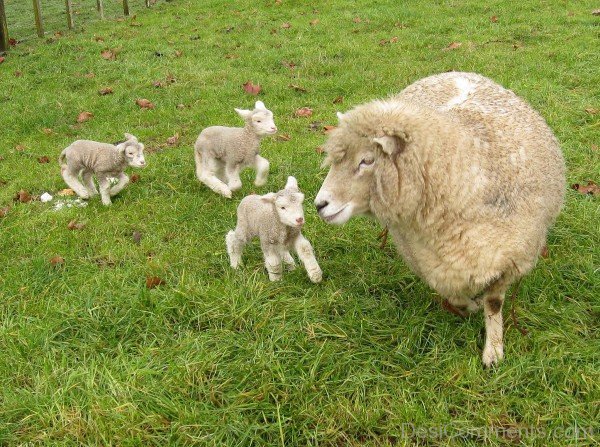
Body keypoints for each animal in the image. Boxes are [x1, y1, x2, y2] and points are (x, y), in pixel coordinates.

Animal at [314, 72, 568, 368]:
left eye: (367, 160)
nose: (319, 205)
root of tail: (456, 72)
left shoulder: (508, 259)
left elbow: (494, 303)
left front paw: (493, 352)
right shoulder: (431, 263)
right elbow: (455, 297)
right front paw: (471, 307)